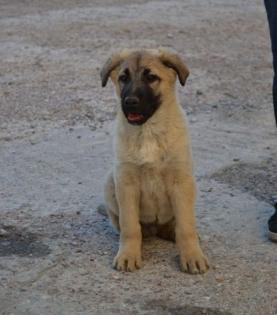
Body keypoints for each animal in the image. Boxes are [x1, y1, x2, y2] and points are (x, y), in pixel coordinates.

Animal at [100, 48, 208, 276]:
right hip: (110, 181)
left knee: (178, 224)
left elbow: (186, 227)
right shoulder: (126, 183)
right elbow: (130, 226)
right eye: (123, 78)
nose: (130, 101)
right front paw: (128, 255)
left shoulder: (180, 181)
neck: (148, 131)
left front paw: (192, 256)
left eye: (151, 78)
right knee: (132, 227)